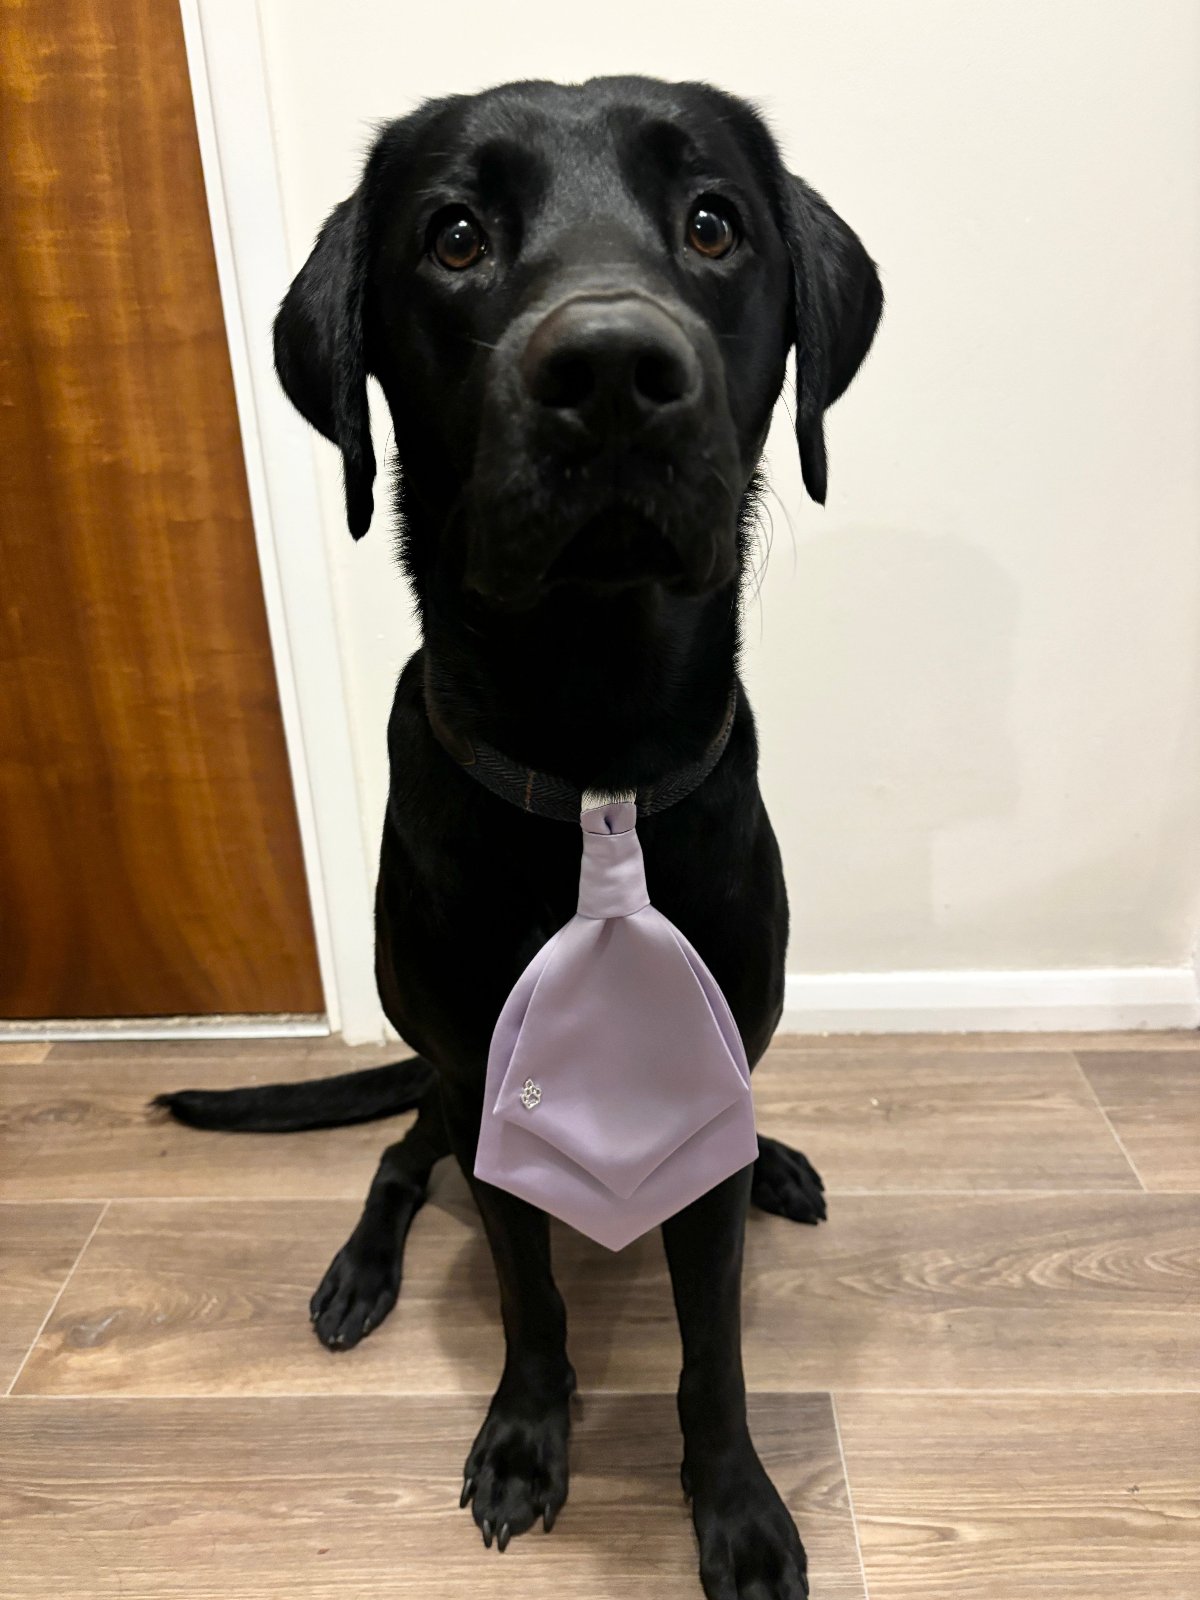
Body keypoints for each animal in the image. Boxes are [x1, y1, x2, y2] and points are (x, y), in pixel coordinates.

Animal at [157, 75, 883, 1600]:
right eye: (454, 236)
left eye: (713, 222)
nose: (610, 371)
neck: (593, 745)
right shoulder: (486, 1084)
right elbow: (529, 1297)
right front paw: (523, 1442)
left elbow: (713, 1346)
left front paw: (738, 1509)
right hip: (443, 1084)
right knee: (397, 1156)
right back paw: (359, 1273)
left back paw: (778, 1162)